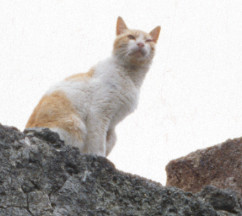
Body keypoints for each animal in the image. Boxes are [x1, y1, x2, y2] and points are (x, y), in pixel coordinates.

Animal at [25, 16, 161, 156]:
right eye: (131, 37)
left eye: (148, 40)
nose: (141, 44)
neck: (132, 76)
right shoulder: (99, 113)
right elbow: (98, 143)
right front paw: (99, 156)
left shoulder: (110, 127)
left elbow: (104, 142)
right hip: (76, 124)